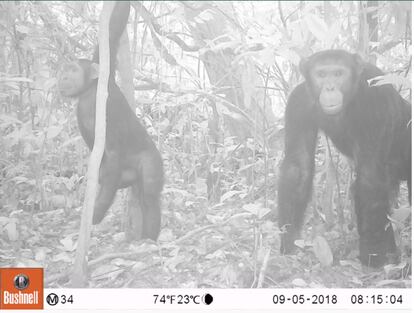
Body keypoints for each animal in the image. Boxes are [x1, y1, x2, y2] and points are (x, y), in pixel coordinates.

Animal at [57, 1, 163, 239]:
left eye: (74, 70)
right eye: (66, 69)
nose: (64, 76)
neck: (90, 90)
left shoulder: (104, 109)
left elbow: (113, 150)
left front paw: (95, 214)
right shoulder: (103, 63)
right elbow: (112, 32)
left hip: (150, 158)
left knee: (150, 192)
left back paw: (150, 239)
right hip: (126, 177)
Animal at [278, 49, 410, 266]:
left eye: (339, 74)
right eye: (321, 74)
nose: (330, 87)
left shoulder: (376, 98)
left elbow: (369, 178)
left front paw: (372, 256)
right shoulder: (299, 103)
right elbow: (298, 166)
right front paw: (288, 241)